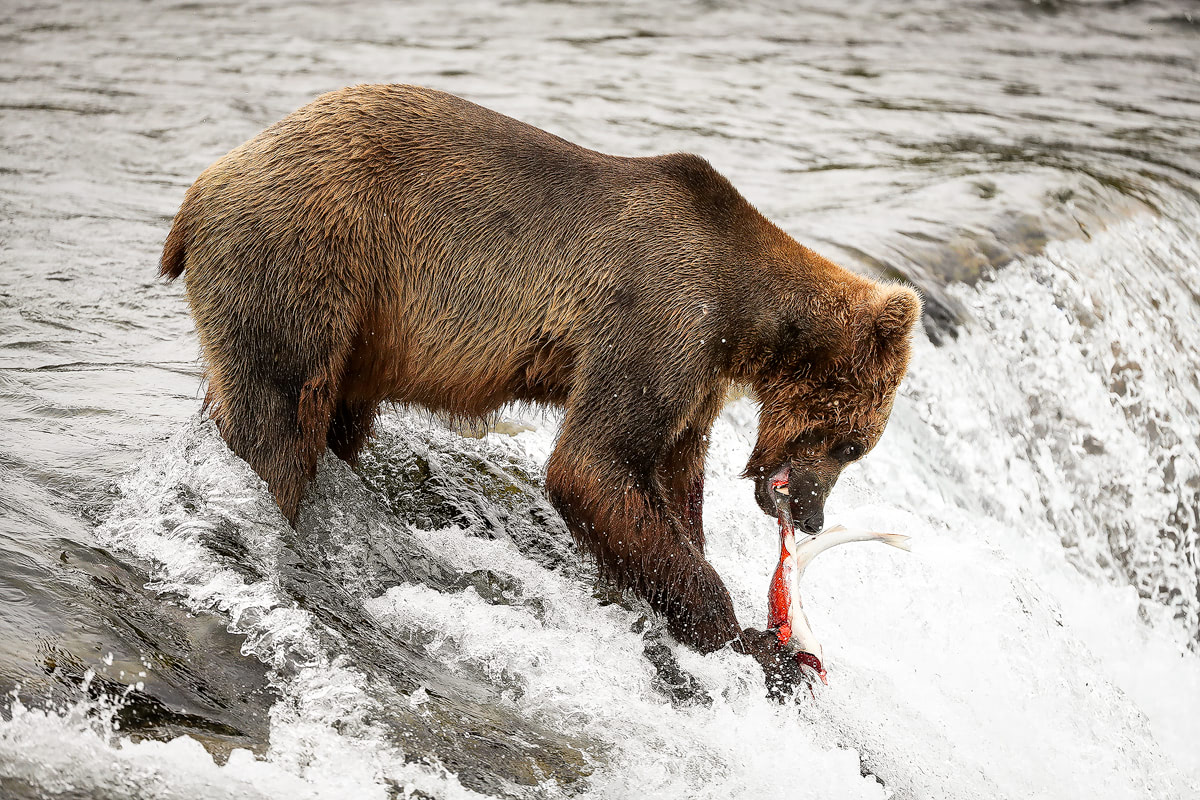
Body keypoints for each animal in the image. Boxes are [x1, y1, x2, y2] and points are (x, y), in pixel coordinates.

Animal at [162, 84, 916, 690]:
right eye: (852, 445)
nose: (812, 515)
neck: (744, 315)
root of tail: (204, 184)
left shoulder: (698, 380)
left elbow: (670, 480)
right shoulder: (657, 318)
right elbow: (595, 463)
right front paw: (752, 642)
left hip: (359, 325)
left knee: (335, 420)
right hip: (306, 256)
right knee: (278, 421)